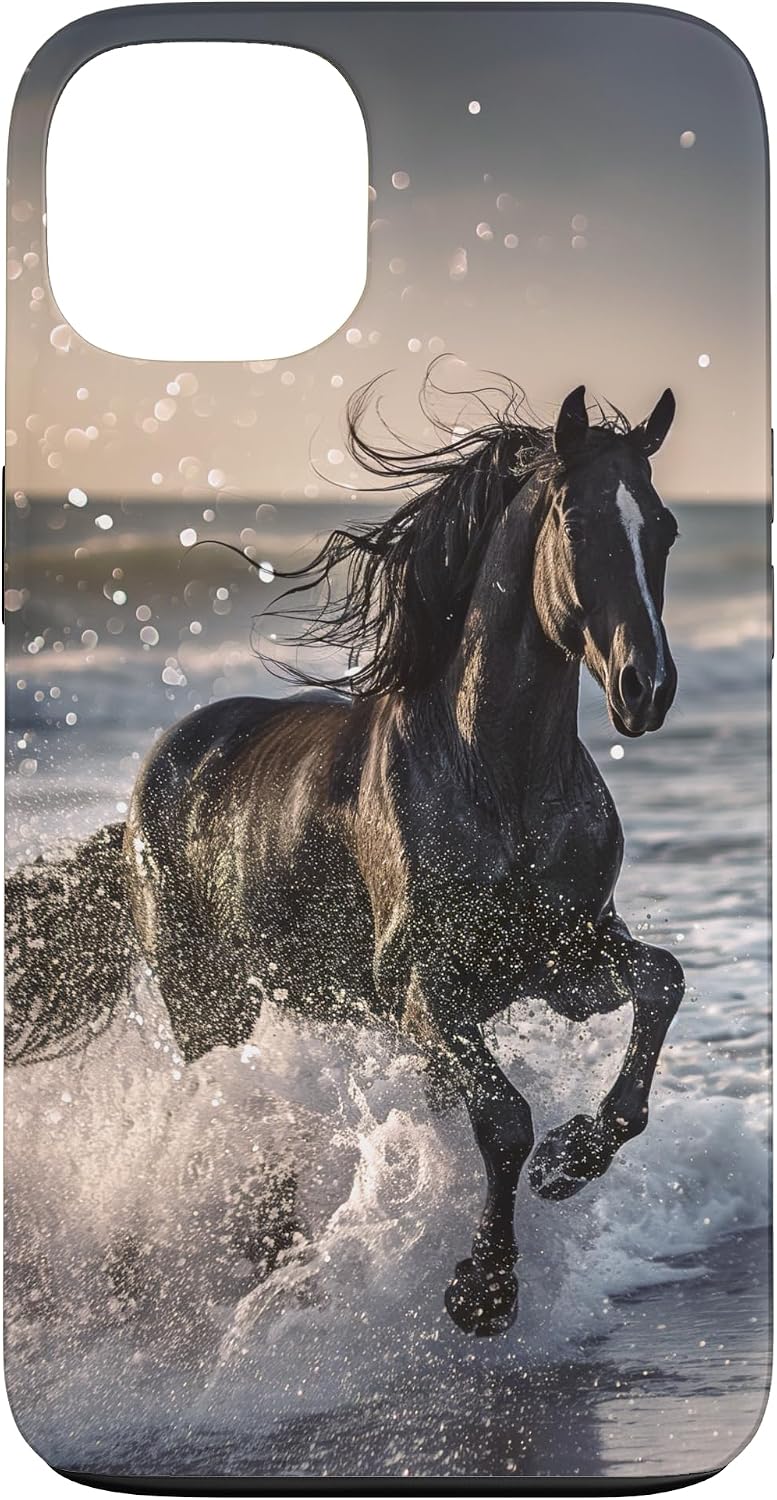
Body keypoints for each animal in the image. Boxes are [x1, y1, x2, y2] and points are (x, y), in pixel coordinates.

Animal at [5, 378, 685, 1336]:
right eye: (578, 522)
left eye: (663, 526)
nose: (645, 689)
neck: (497, 777)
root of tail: (137, 805)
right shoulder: (420, 984)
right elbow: (503, 1117)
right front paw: (483, 1289)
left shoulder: (565, 960)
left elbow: (660, 982)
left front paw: (569, 1160)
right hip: (203, 1000)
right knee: (230, 1114)